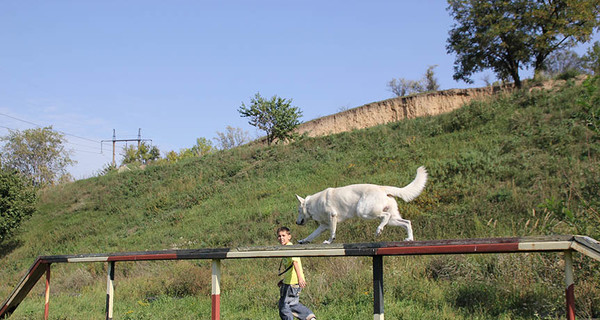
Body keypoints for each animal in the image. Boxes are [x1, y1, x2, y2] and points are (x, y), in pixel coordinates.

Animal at [296, 166, 426, 244]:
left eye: (298, 211)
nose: (296, 223)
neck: (311, 205)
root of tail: (382, 188)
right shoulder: (324, 225)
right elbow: (311, 235)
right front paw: (303, 241)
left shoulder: (332, 217)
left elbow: (332, 233)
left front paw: (329, 241)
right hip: (392, 220)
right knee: (407, 222)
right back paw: (409, 238)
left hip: (364, 212)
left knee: (385, 216)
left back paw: (378, 230)